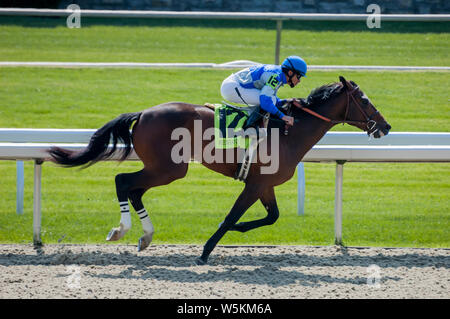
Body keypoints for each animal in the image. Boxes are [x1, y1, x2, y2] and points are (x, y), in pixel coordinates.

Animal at [46, 77, 390, 264]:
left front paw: (238, 231)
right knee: (123, 182)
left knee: (134, 190)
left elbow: (272, 217)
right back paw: (122, 230)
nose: (385, 126)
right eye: (363, 99)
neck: (290, 130)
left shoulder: (265, 184)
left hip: (163, 168)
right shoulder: (254, 185)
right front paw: (206, 250)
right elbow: (231, 216)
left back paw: (145, 236)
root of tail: (143, 113)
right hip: (170, 168)